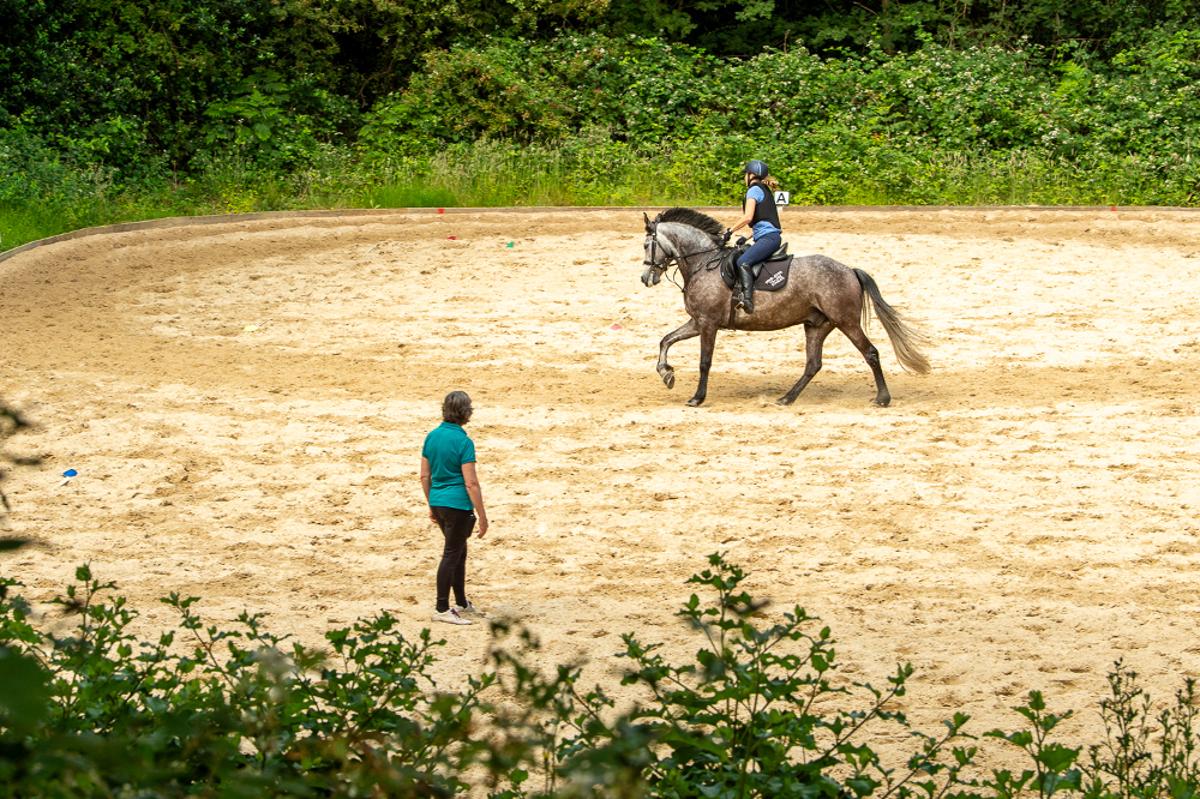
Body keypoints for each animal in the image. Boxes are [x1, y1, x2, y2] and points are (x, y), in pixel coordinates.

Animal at [638, 206, 926, 405]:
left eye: (646, 245)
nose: (645, 278)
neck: (703, 263)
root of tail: (850, 271)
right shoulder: (697, 321)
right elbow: (666, 340)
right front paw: (666, 374)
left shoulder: (708, 324)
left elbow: (704, 362)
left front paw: (697, 397)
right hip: (817, 325)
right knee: (813, 364)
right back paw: (787, 398)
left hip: (846, 321)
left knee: (870, 353)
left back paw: (883, 398)